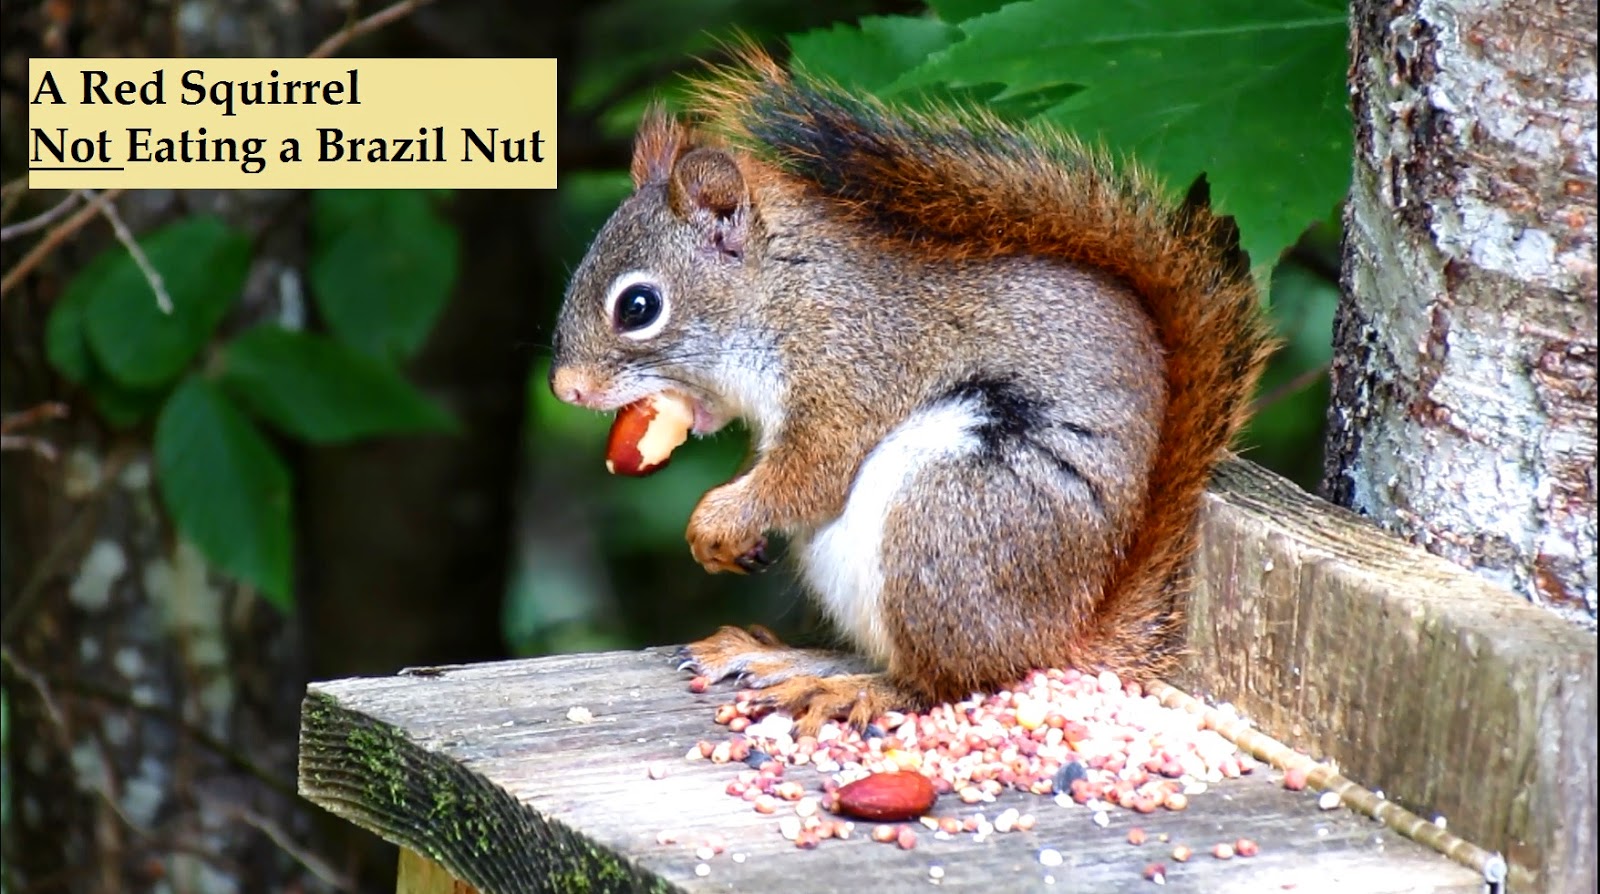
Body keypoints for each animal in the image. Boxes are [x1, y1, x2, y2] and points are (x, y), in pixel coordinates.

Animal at [549, 49, 1276, 735]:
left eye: (638, 306)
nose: (565, 389)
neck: (784, 291)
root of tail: (1062, 637)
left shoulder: (852, 371)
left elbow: (810, 474)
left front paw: (716, 521)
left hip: (946, 517)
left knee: (949, 682)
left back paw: (856, 690)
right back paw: (785, 658)